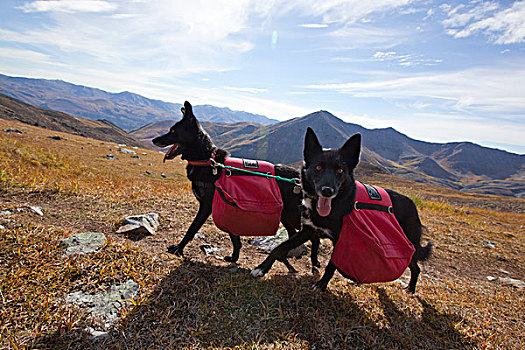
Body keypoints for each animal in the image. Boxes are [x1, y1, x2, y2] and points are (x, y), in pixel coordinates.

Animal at [152, 100, 320, 270]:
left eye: (173, 131)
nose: (154, 140)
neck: (206, 160)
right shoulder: (229, 207)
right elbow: (234, 236)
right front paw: (234, 257)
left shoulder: (206, 206)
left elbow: (192, 228)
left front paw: (178, 248)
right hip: (286, 216)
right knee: (299, 235)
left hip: (292, 214)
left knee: (311, 235)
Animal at [252, 128, 432, 292]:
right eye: (318, 168)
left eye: (340, 170)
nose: (327, 191)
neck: (332, 208)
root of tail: (413, 205)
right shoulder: (307, 231)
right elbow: (280, 247)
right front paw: (261, 268)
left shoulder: (340, 240)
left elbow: (332, 264)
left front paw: (321, 285)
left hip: (409, 246)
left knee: (416, 267)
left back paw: (411, 288)